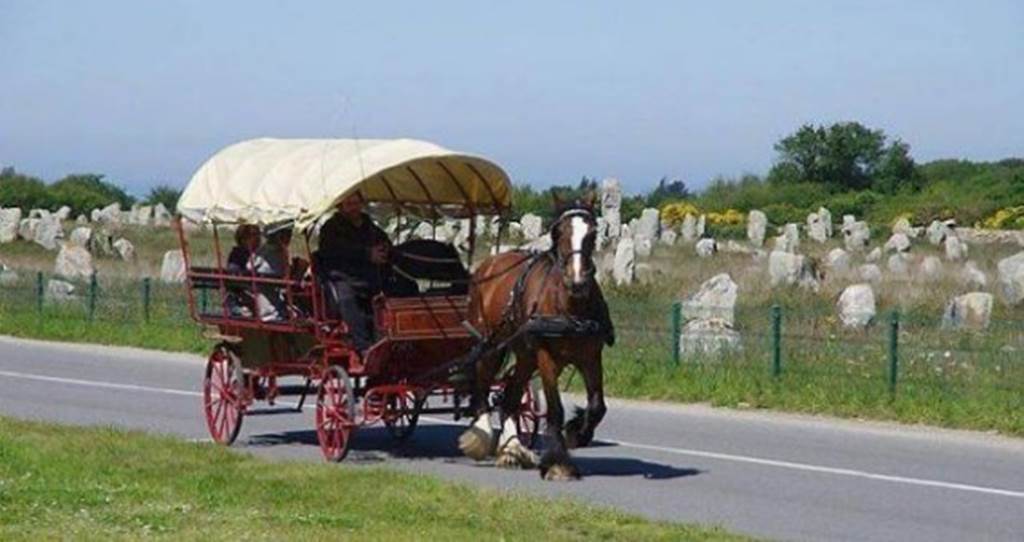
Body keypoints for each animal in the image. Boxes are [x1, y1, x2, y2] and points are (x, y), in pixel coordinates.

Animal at [454, 192, 606, 479]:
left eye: (593, 233)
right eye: (558, 232)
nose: (577, 282)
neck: (570, 308)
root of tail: (488, 264)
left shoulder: (591, 357)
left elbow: (597, 406)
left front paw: (577, 433)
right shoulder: (546, 358)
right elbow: (555, 410)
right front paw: (558, 463)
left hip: (525, 355)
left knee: (510, 397)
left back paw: (512, 450)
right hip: (491, 346)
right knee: (482, 388)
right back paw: (482, 437)